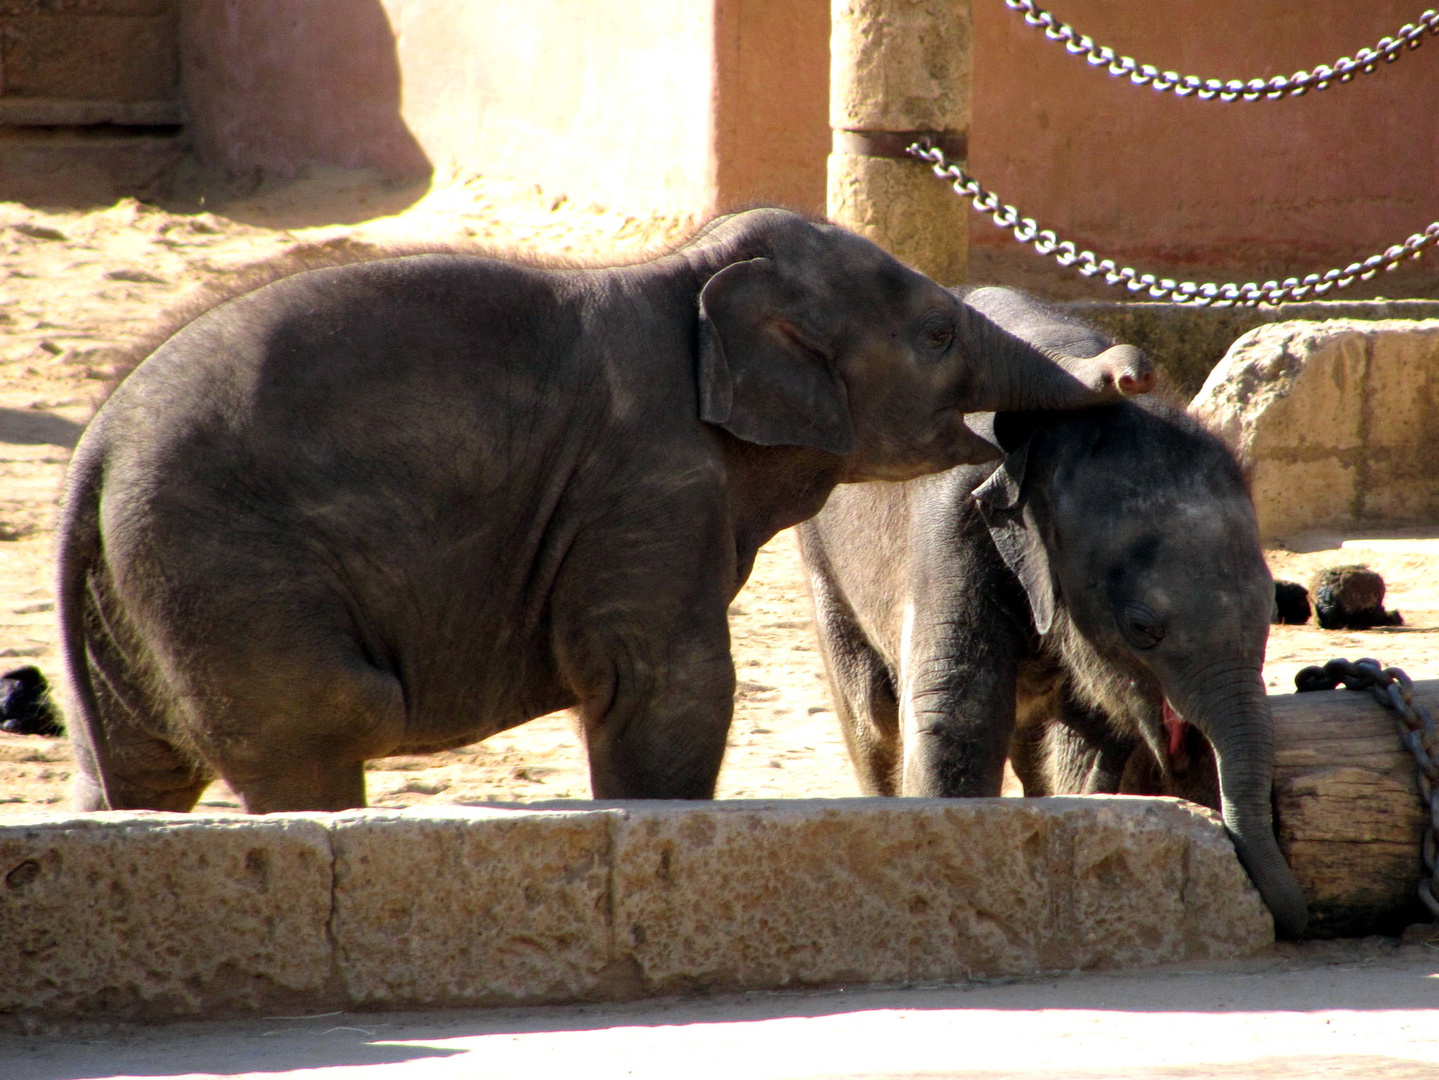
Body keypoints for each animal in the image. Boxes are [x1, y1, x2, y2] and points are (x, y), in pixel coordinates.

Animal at [58, 211, 1145, 816]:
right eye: (934, 334)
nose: (1128, 368)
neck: (684, 270)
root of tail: (93, 448)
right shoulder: (647, 476)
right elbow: (666, 684)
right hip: (225, 571)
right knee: (324, 722)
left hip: (142, 601)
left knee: (134, 768)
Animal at [805, 287, 1312, 937]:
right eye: (1142, 628)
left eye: (1272, 607)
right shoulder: (951, 527)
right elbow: (958, 713)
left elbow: (1088, 740)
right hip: (823, 557)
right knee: (869, 710)